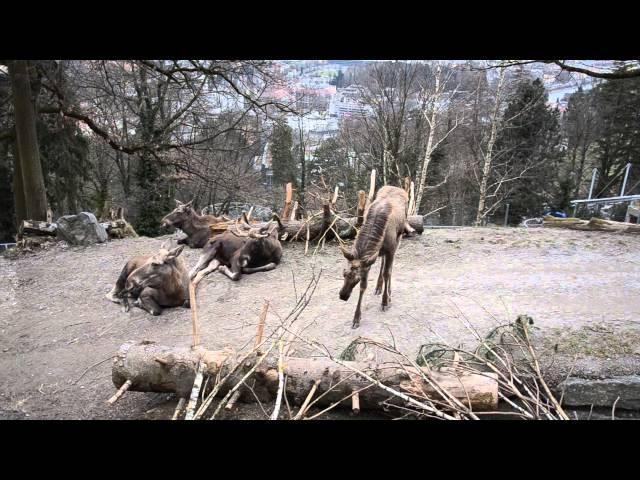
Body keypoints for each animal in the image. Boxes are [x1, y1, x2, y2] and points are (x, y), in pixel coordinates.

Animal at [338, 186, 408, 328]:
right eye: (344, 273)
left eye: (357, 278)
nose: (343, 295)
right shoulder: (368, 259)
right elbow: (364, 286)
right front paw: (356, 318)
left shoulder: (390, 249)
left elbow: (387, 273)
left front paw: (385, 302)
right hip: (381, 252)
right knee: (382, 263)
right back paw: (378, 287)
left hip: (399, 239)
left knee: (389, 268)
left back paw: (388, 293)